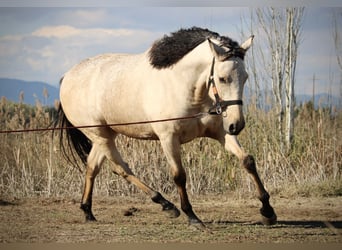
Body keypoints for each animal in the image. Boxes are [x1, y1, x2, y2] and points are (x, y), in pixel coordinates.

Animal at [55, 26, 276, 227]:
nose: (236, 125)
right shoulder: (168, 138)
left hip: (107, 135)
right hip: (99, 135)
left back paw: (88, 211)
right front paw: (192, 217)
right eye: (223, 78)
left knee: (93, 167)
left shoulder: (220, 133)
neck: (184, 86)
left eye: (245, 77)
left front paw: (268, 211)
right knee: (121, 168)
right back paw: (166, 205)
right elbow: (179, 175)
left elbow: (247, 161)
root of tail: (67, 77)